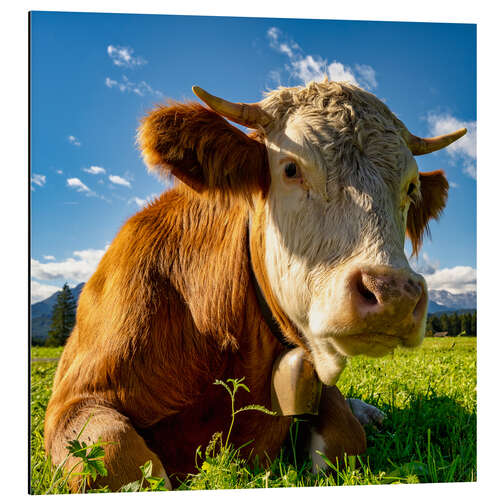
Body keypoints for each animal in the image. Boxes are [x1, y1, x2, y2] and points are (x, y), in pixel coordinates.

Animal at [43, 80, 464, 490]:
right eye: (290, 169)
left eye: (410, 188)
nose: (393, 294)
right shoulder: (74, 399)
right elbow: (119, 458)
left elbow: (346, 435)